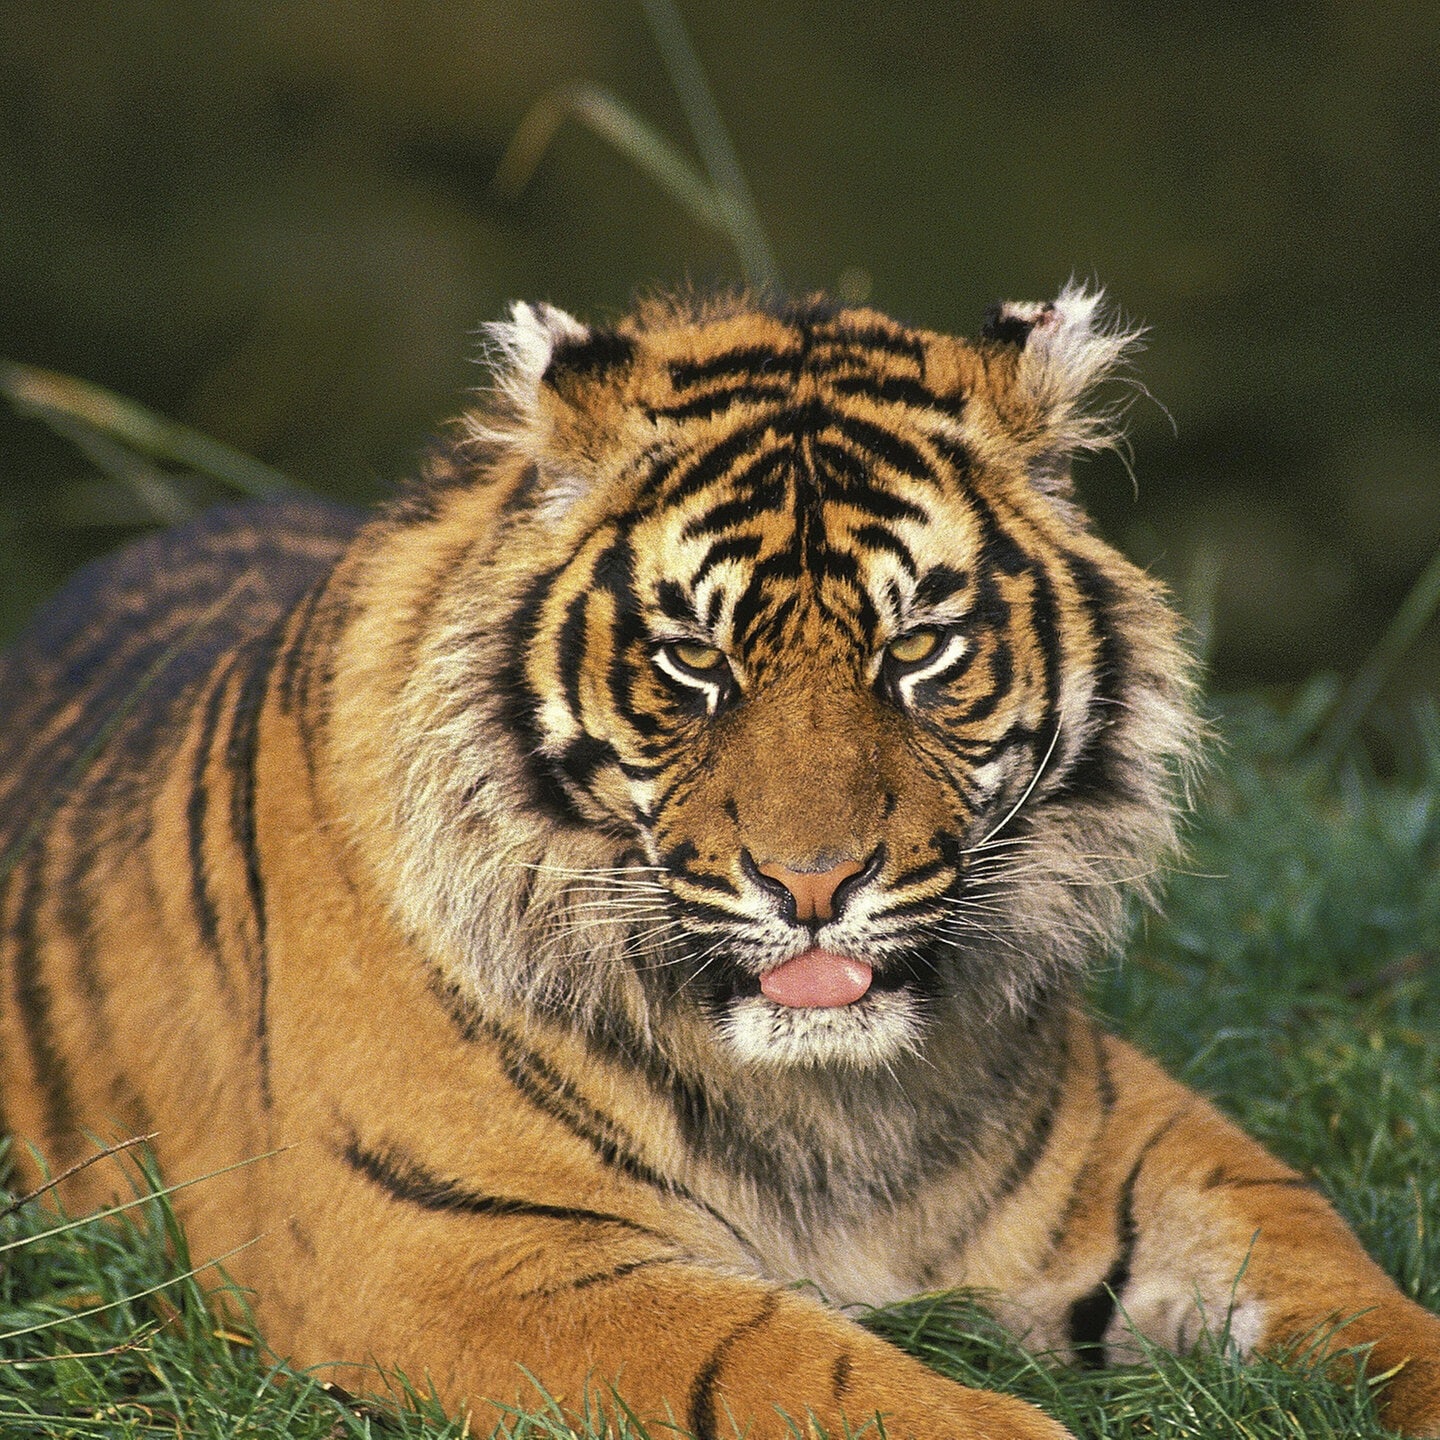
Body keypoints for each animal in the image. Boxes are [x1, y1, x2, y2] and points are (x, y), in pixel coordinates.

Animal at [2, 286, 1438, 1440]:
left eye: (919, 649)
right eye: (695, 660)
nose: (814, 885)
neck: (830, 1098)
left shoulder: (1137, 1148)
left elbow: (1344, 1280)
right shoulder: (454, 1250)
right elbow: (800, 1370)